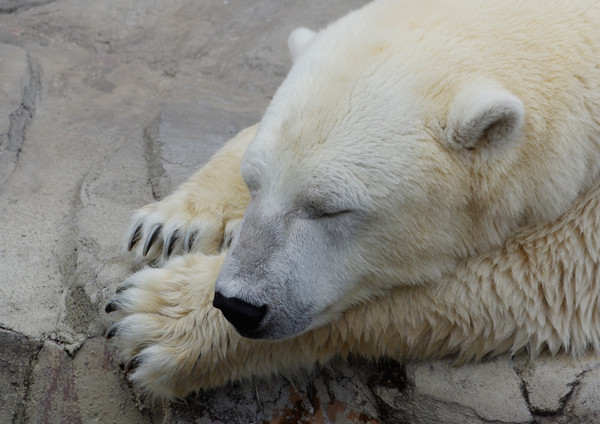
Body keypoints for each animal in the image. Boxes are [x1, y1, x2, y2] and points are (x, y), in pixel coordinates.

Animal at [108, 0, 600, 400]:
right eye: (254, 184)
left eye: (330, 209)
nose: (238, 306)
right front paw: (173, 225)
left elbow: (534, 274)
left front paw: (157, 317)